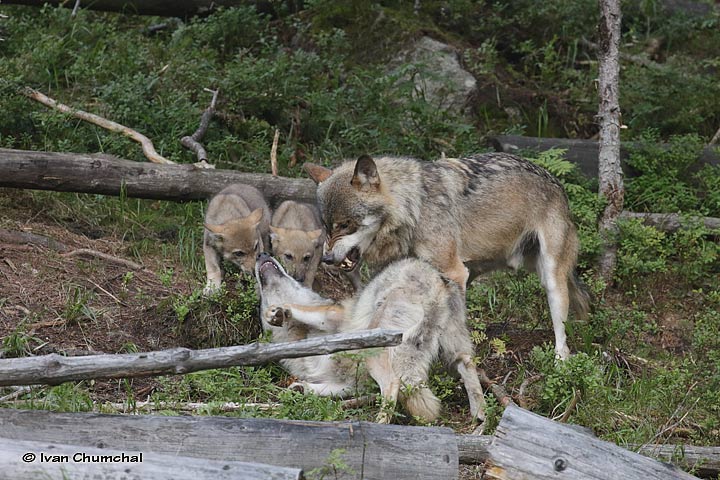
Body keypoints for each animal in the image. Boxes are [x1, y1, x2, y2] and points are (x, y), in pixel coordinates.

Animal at [253, 253, 484, 426]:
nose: (261, 253)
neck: (299, 336)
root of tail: (435, 277)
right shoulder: (350, 384)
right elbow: (324, 390)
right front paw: (300, 389)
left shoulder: (333, 315)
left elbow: (299, 308)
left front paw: (278, 312)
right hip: (451, 349)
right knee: (467, 364)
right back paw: (480, 416)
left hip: (375, 352)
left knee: (392, 384)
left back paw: (379, 426)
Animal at [304, 152, 592, 358]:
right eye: (327, 226)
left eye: (345, 225)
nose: (327, 259)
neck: (414, 208)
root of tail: (557, 183)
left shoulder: (454, 271)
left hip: (550, 279)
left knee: (562, 332)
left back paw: (560, 361)